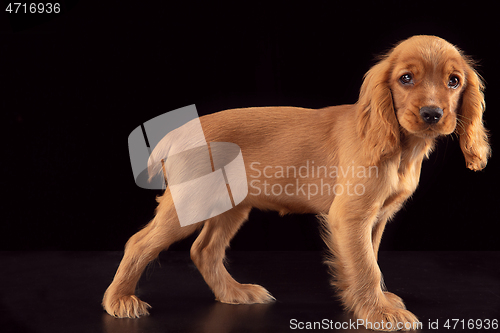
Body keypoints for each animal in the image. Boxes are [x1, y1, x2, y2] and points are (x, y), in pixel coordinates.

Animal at [103, 35, 490, 330]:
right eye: (406, 79)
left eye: (454, 81)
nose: (432, 115)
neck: (400, 146)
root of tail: (177, 134)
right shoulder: (350, 215)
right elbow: (366, 265)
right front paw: (379, 312)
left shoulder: (376, 217)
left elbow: (370, 258)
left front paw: (373, 301)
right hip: (191, 203)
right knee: (139, 243)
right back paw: (120, 300)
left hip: (232, 206)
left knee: (205, 250)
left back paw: (235, 293)